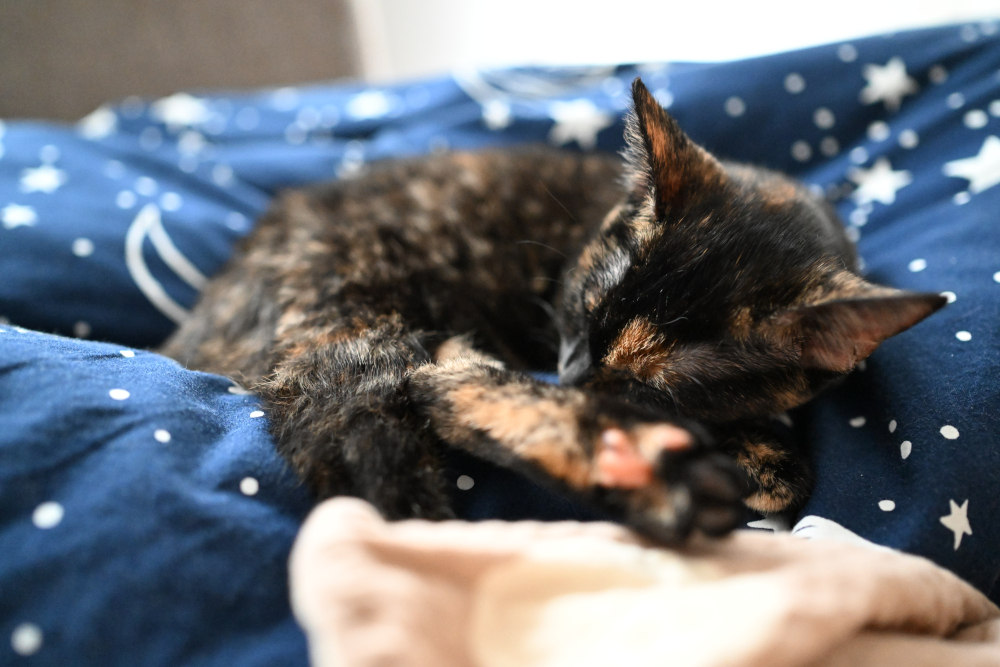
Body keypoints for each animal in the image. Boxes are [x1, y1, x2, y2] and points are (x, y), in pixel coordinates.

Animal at [162, 81, 944, 544]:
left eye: (649, 385)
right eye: (577, 313)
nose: (569, 376)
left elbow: (788, 470)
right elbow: (790, 474)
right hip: (359, 324)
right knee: (425, 399)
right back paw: (644, 468)